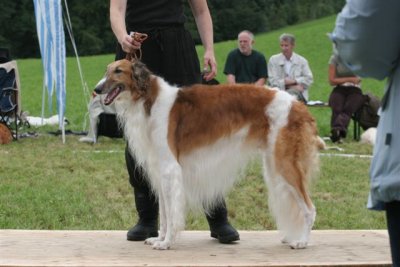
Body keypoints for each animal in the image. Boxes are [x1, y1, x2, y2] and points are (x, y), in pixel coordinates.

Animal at [96, 59, 324, 251]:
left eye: (118, 71)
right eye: (106, 70)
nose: (96, 89)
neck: (149, 99)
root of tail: (299, 106)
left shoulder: (170, 169)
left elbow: (171, 212)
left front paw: (167, 242)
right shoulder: (161, 171)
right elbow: (164, 214)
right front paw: (159, 238)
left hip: (285, 164)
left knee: (310, 208)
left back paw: (302, 241)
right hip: (274, 165)